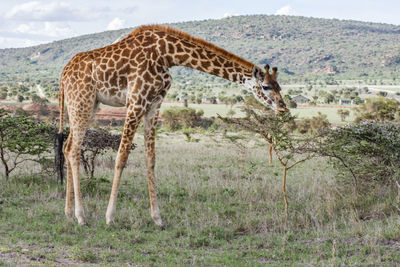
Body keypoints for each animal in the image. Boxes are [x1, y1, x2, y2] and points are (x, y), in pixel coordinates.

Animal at [57, 25, 286, 227]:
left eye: (280, 87)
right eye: (266, 86)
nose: (283, 109)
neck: (168, 54)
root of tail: (62, 75)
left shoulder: (154, 103)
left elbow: (150, 159)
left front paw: (158, 219)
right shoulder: (136, 101)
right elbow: (121, 157)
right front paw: (110, 217)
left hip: (87, 105)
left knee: (67, 147)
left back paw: (68, 213)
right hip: (82, 101)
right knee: (75, 149)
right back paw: (81, 217)